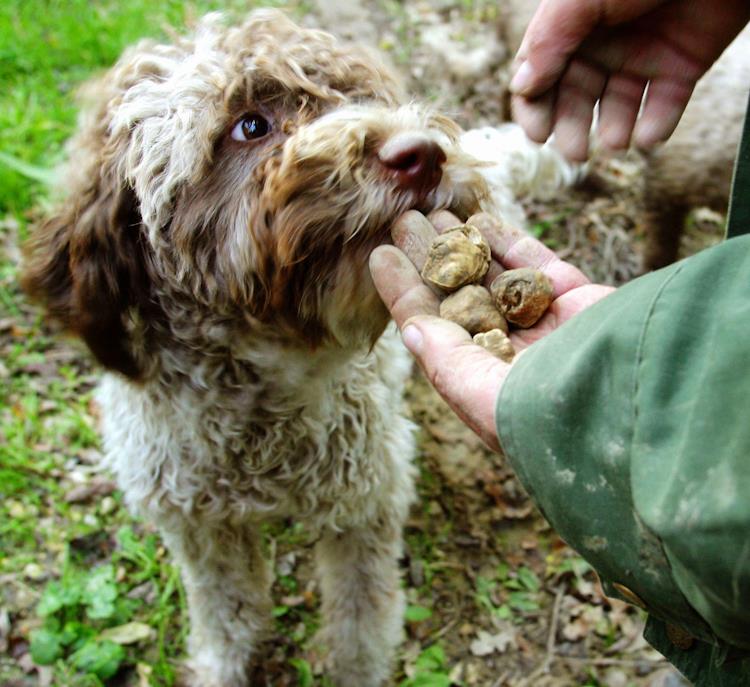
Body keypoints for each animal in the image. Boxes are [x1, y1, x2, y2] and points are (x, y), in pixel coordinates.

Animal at [22, 10, 576, 687]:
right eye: (249, 125)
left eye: (360, 97)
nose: (421, 154)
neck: (261, 402)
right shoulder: (198, 526)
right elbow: (226, 617)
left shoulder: (365, 503)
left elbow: (359, 623)